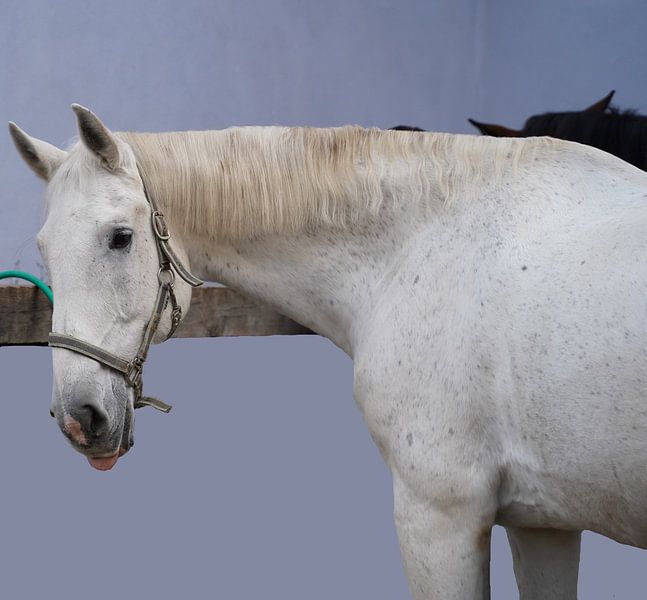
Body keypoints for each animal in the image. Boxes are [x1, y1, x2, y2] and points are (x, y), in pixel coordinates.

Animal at [9, 105, 647, 599]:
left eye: (120, 238)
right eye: (43, 249)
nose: (80, 418)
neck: (423, 244)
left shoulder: (439, 516)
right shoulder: (544, 524)